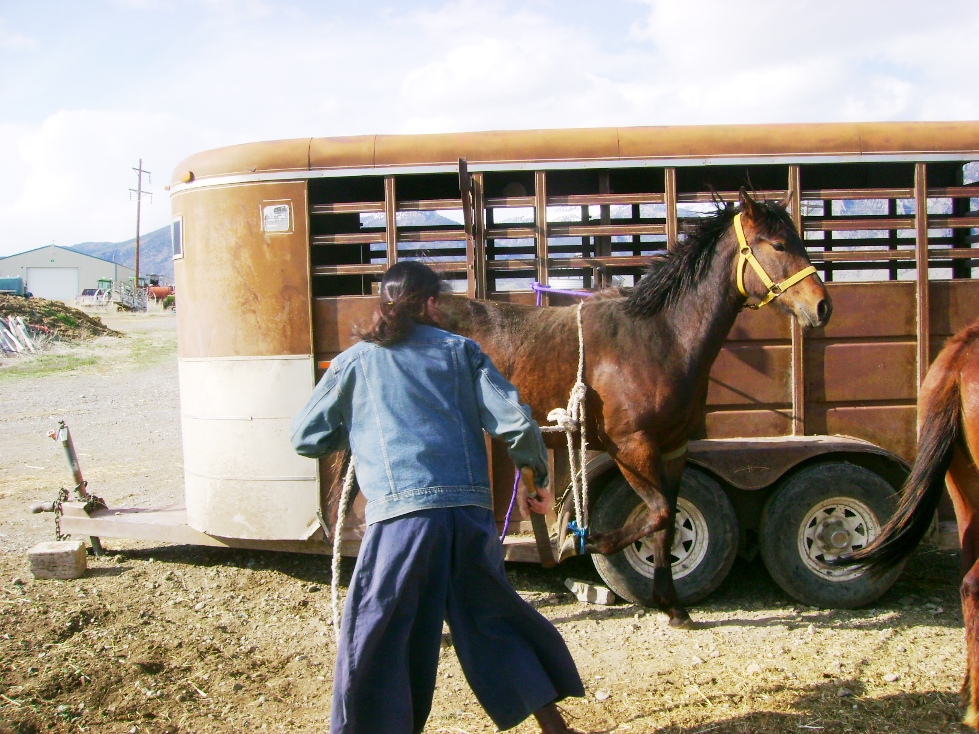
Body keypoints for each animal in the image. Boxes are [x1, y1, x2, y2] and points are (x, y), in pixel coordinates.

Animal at [440, 188, 832, 628]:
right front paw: (579, 541)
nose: (822, 307)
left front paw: (673, 605)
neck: (660, 337)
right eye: (779, 245)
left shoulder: (672, 448)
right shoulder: (630, 446)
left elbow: (668, 521)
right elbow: (657, 514)